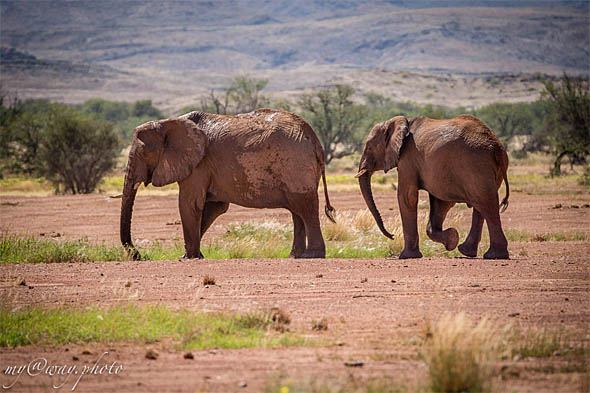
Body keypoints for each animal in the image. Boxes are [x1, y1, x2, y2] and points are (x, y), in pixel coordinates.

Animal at [119, 108, 338, 258]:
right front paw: (193, 255)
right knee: (296, 210)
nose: (138, 255)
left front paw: (189, 257)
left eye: (143, 152)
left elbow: (190, 204)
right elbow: (213, 207)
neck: (168, 123)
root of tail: (316, 142)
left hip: (296, 165)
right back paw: (294, 256)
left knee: (305, 207)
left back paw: (312, 256)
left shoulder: (199, 164)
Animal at [356, 114, 512, 258]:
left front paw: (407, 256)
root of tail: (497, 147)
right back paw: (468, 251)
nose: (392, 235)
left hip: (475, 165)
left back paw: (494, 255)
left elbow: (407, 196)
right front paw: (452, 239)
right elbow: (440, 202)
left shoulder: (407, 157)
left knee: (485, 203)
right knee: (481, 206)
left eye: (369, 147)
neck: (401, 122)